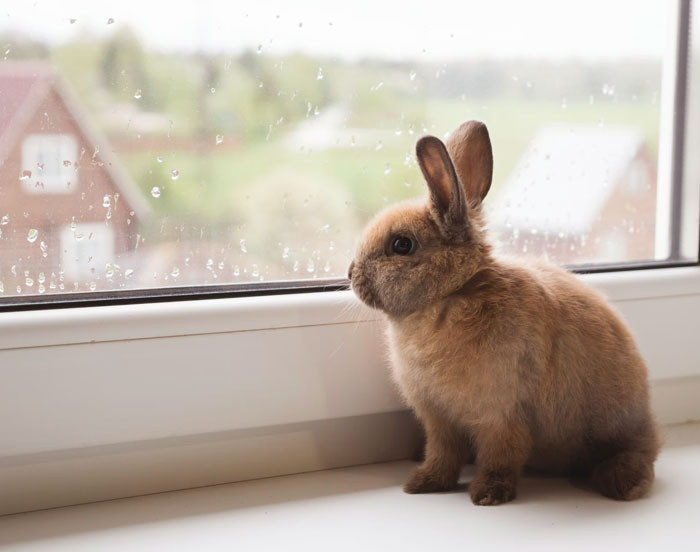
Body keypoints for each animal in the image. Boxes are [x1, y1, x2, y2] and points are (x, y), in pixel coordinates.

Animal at [348, 120, 659, 505]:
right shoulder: (439, 420)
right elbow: (442, 454)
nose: (350, 274)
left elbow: (502, 454)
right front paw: (423, 483)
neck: (452, 294)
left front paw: (488, 494)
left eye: (401, 244)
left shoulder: (500, 414)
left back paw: (624, 483)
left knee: (639, 455)